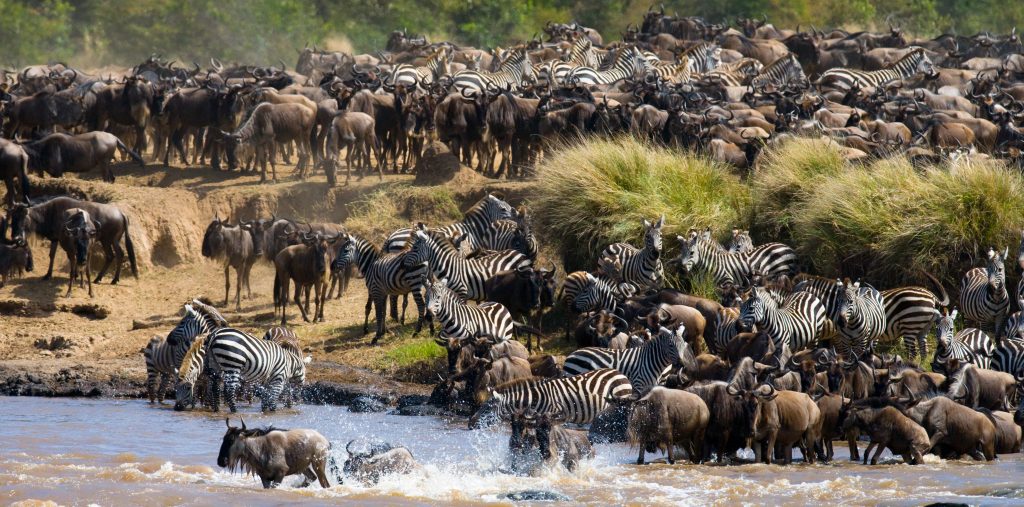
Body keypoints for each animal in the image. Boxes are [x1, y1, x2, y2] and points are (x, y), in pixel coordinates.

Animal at [563, 325, 691, 391]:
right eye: (670, 345)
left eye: (683, 344)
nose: (681, 364)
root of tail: (572, 354)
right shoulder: (638, 385)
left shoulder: (657, 385)